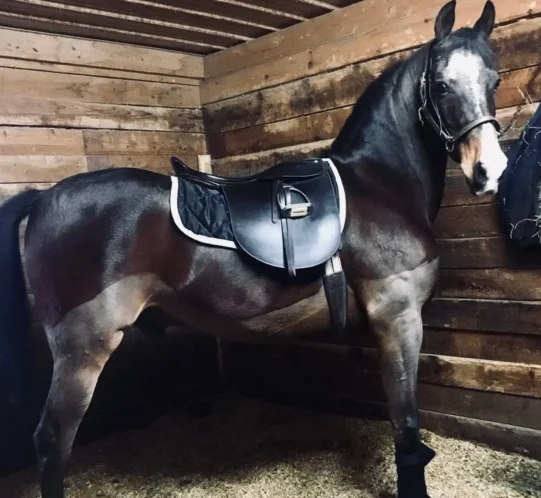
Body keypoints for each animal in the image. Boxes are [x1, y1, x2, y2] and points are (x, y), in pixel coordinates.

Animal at [0, 1, 506, 496]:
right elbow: (406, 425)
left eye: (494, 80)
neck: (378, 187)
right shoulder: (397, 319)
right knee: (52, 441)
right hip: (83, 347)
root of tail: (42, 197)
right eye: (441, 85)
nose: (490, 170)